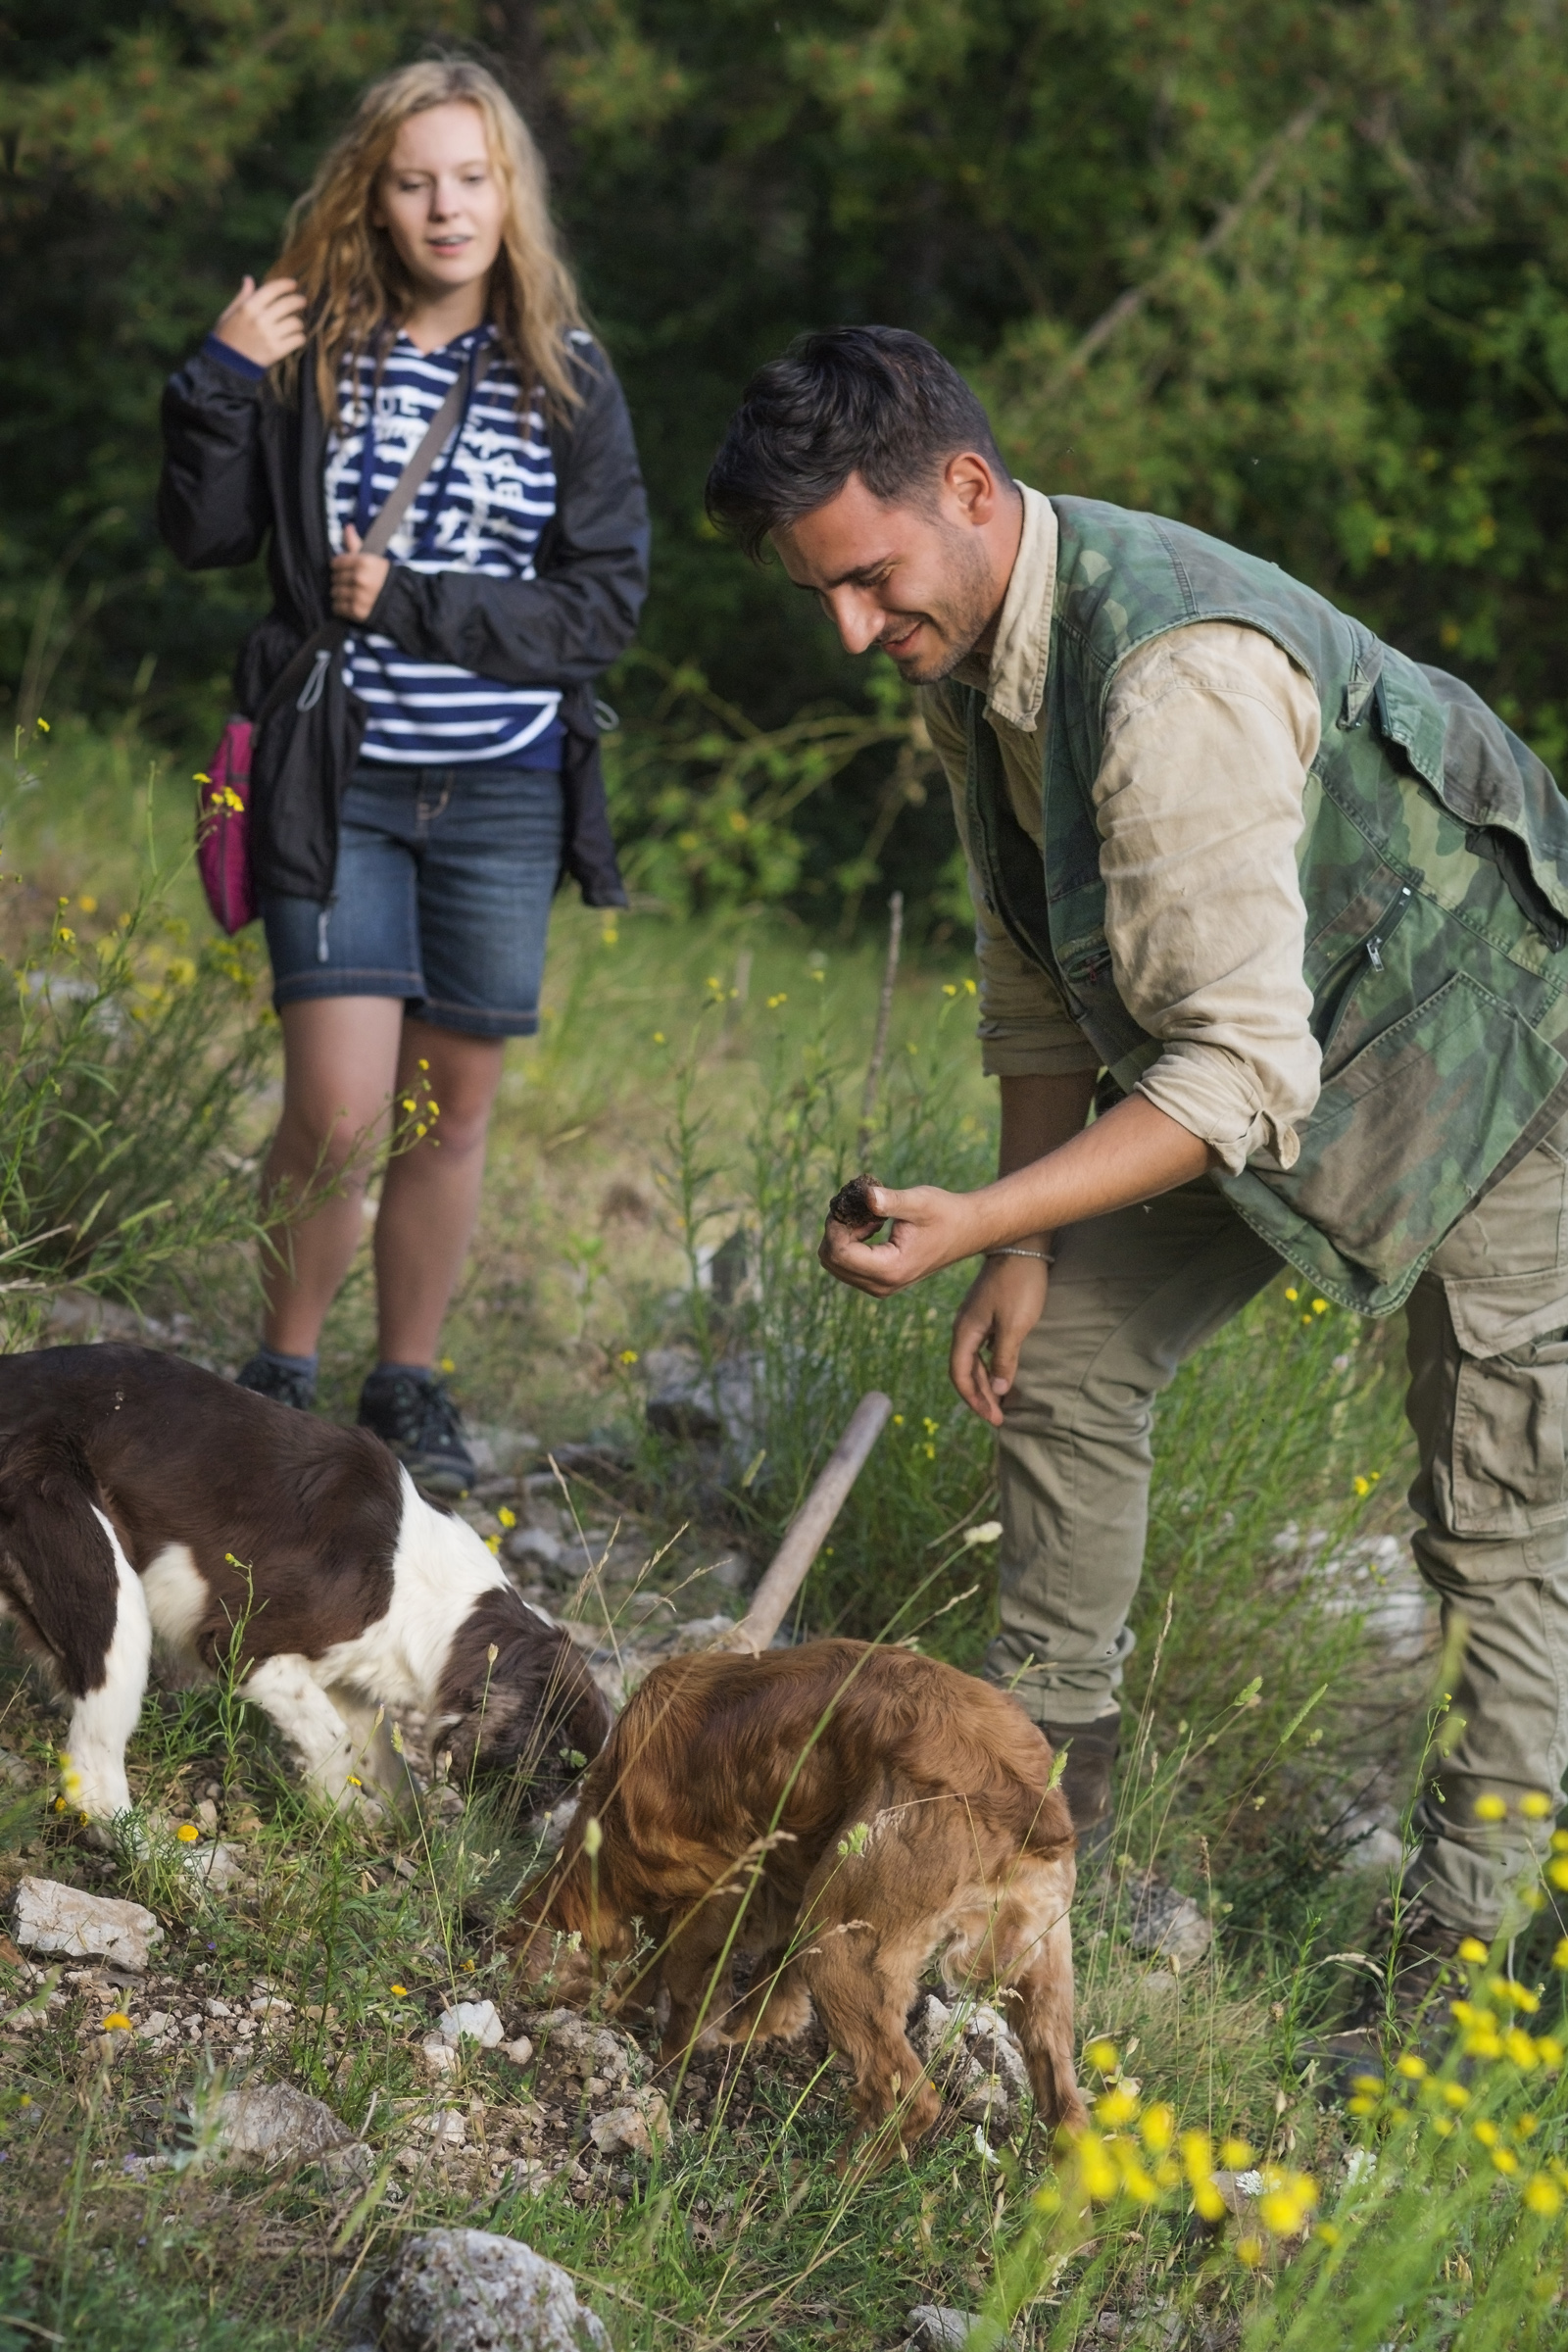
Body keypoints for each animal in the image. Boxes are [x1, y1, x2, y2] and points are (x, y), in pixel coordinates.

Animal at [510, 1637, 1086, 2164]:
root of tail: (1034, 1805)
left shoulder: (719, 1890)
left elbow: (684, 1984)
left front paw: (669, 2065)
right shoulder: (785, 1893)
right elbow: (762, 1982)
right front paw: (745, 2031)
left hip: (838, 1941)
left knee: (907, 2097)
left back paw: (829, 2183)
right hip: (1042, 1982)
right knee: (1069, 2111)